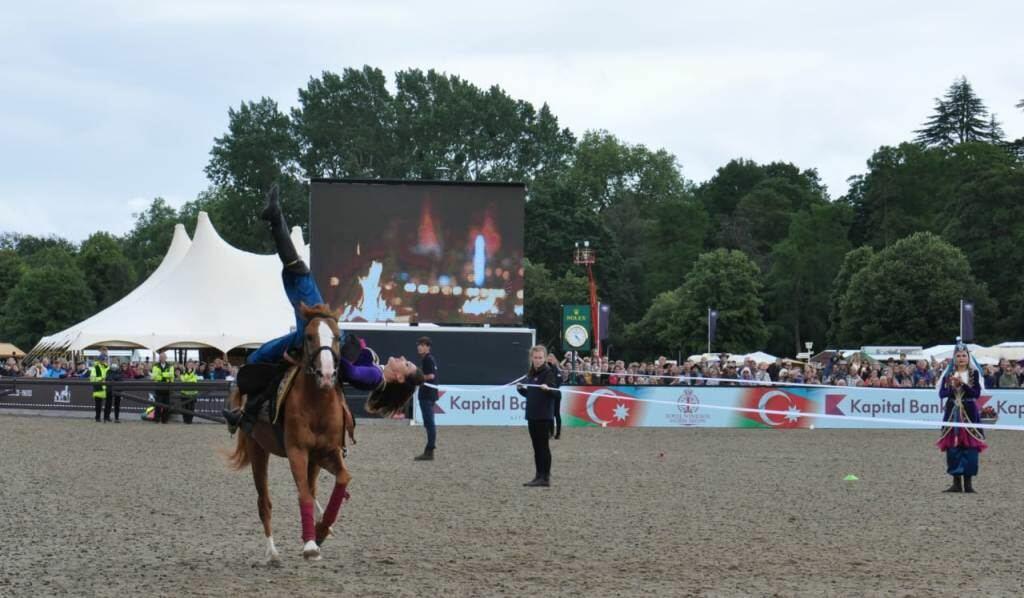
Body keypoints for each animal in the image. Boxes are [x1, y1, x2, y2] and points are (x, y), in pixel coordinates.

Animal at [226, 303, 354, 561]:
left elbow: (342, 478)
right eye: (309, 336)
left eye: (338, 336)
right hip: (258, 450)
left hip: (314, 460)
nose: (327, 375)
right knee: (264, 502)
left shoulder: (328, 452)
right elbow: (302, 493)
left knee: (312, 489)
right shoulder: (297, 451)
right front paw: (310, 544)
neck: (317, 406)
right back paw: (272, 552)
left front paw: (321, 530)